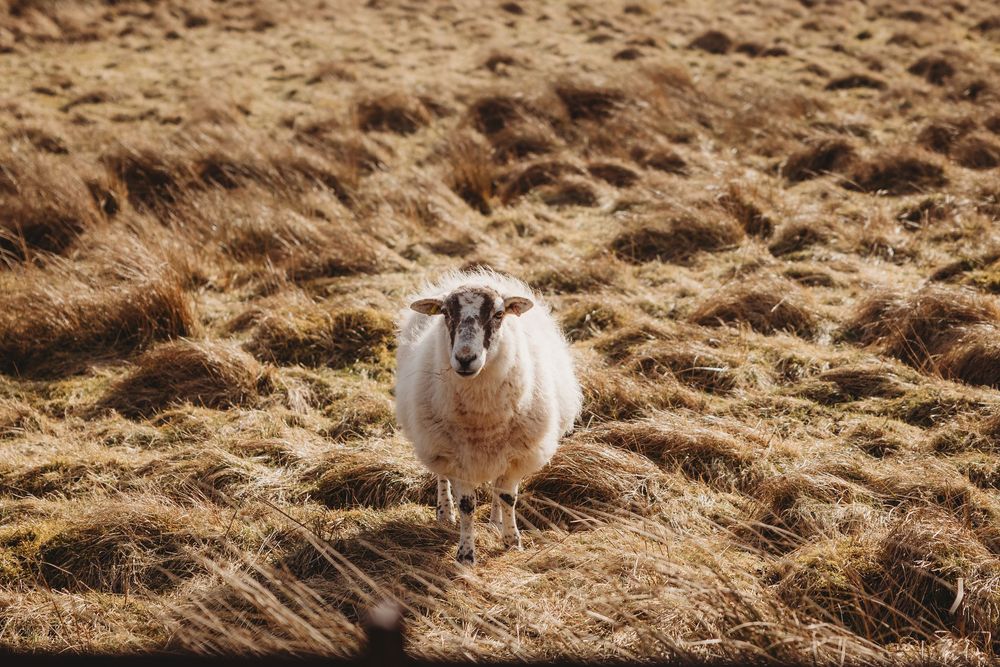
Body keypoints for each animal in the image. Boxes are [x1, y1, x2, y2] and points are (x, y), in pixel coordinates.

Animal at [394, 268, 582, 564]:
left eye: (498, 314)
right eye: (446, 313)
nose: (465, 358)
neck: (481, 417)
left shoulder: (517, 454)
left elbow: (507, 497)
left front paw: (511, 541)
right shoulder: (455, 457)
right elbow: (467, 505)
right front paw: (466, 554)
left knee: (497, 487)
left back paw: (495, 521)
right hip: (434, 442)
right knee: (442, 477)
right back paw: (445, 512)